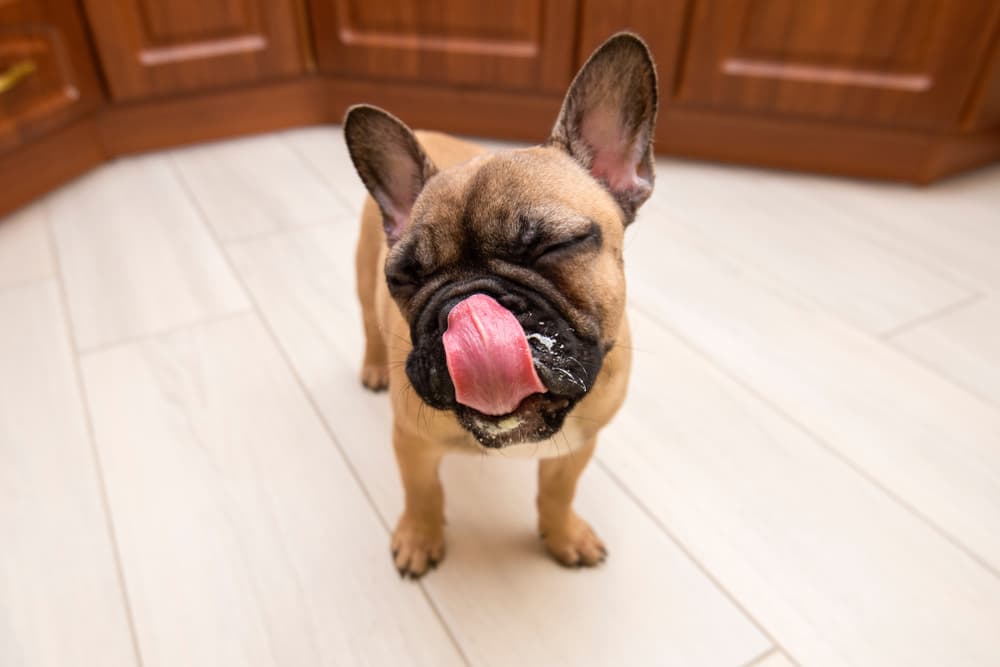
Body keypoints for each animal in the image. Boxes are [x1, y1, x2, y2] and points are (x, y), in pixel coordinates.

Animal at [344, 31, 656, 576]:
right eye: (404, 277)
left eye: (555, 246)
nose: (467, 305)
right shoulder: (412, 442)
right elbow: (422, 493)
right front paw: (419, 538)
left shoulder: (577, 447)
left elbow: (558, 493)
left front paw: (563, 535)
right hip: (362, 279)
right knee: (367, 322)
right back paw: (374, 367)